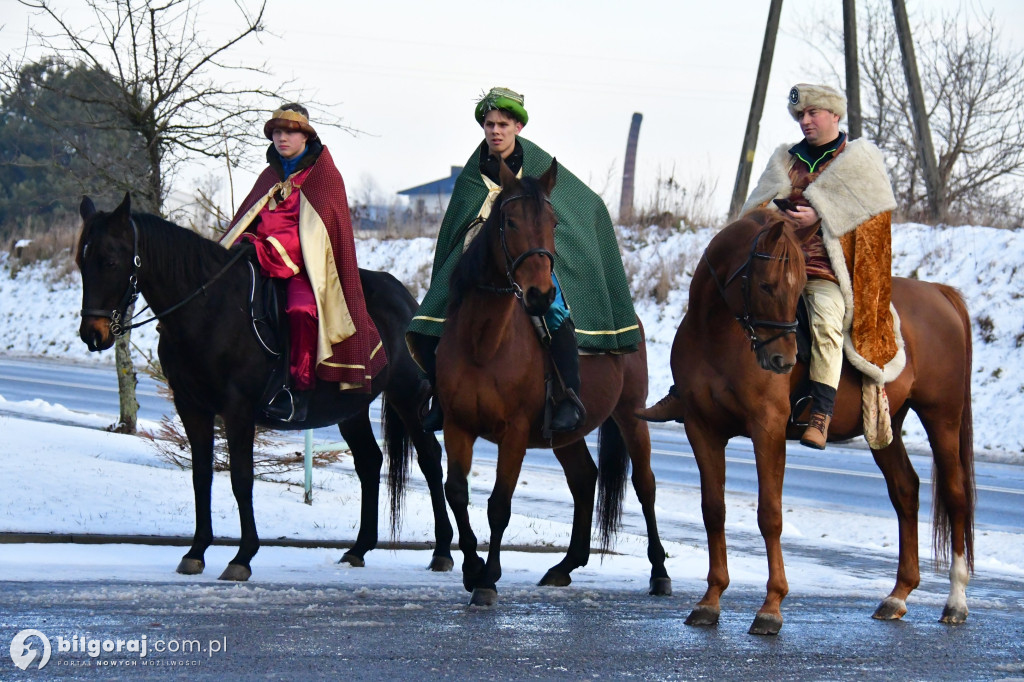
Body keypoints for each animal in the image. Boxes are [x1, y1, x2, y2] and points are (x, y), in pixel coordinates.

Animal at [75, 191, 452, 577]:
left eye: (110, 261)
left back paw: (442, 552)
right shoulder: (192, 407)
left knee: (430, 459)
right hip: (352, 408)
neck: (207, 309)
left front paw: (243, 556)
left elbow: (242, 479)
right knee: (369, 462)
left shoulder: (238, 409)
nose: (93, 334)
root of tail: (406, 299)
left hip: (408, 398)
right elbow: (201, 476)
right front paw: (196, 551)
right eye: (81, 261)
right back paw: (359, 548)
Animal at [438, 160, 671, 606]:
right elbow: (456, 491)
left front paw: (488, 579)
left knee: (645, 485)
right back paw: (565, 565)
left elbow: (499, 504)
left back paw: (659, 571)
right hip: (566, 433)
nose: (542, 295)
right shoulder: (456, 425)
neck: (483, 344)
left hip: (631, 414)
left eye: (553, 222)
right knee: (584, 478)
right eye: (509, 221)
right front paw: (472, 569)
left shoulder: (513, 433)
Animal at [638, 209, 974, 634]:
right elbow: (713, 510)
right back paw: (897, 595)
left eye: (799, 286)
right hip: (885, 425)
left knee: (955, 495)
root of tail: (939, 293)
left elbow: (770, 514)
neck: (717, 334)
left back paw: (956, 601)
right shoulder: (702, 429)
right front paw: (710, 601)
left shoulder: (767, 429)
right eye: (766, 285)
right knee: (905, 490)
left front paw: (771, 605)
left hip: (941, 417)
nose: (783, 360)